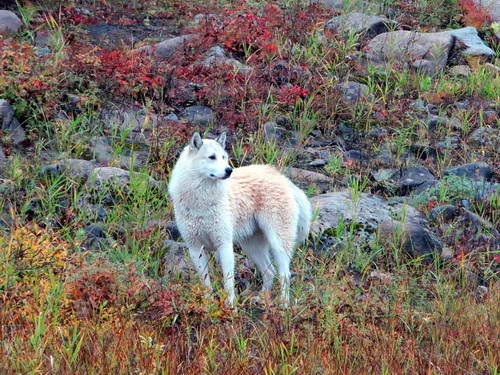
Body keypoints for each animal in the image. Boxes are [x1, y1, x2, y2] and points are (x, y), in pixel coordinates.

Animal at [168, 134, 310, 306]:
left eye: (224, 157)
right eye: (212, 157)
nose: (229, 170)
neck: (201, 201)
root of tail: (282, 178)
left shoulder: (224, 245)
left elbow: (228, 282)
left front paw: (230, 307)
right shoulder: (195, 248)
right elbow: (206, 282)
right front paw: (208, 304)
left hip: (278, 243)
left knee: (284, 274)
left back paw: (283, 305)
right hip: (252, 247)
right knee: (270, 271)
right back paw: (262, 299)